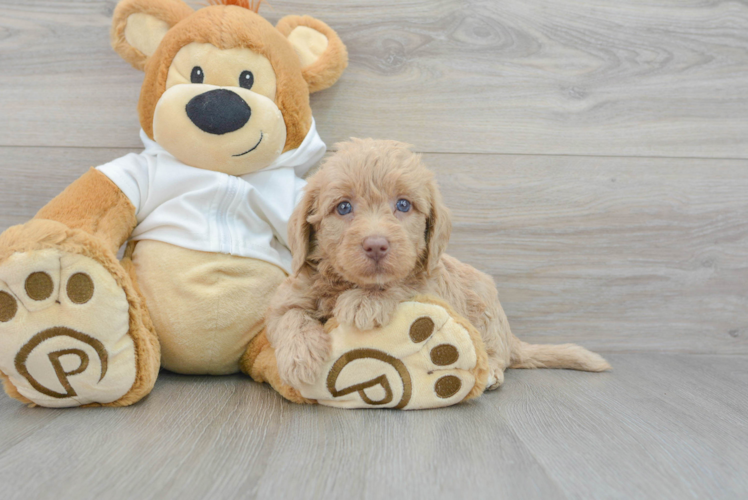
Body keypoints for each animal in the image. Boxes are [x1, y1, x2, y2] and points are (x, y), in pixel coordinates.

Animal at [268, 139, 608, 388]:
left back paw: (491, 371)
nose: (376, 245)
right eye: (343, 207)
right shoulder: (290, 295)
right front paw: (299, 357)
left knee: (497, 352)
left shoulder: (430, 286)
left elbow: (403, 284)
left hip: (485, 307)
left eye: (403, 204)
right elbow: (289, 317)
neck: (347, 283)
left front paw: (365, 302)